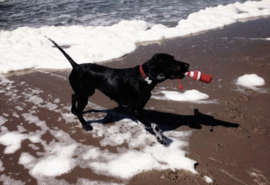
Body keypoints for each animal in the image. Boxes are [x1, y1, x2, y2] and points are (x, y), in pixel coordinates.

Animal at [47, 38, 189, 145]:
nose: (187, 65)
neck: (143, 77)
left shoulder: (139, 109)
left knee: (73, 95)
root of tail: (76, 66)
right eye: (169, 62)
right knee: (79, 111)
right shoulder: (133, 109)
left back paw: (72, 110)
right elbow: (155, 125)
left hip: (87, 92)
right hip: (84, 95)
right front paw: (160, 137)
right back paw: (85, 125)